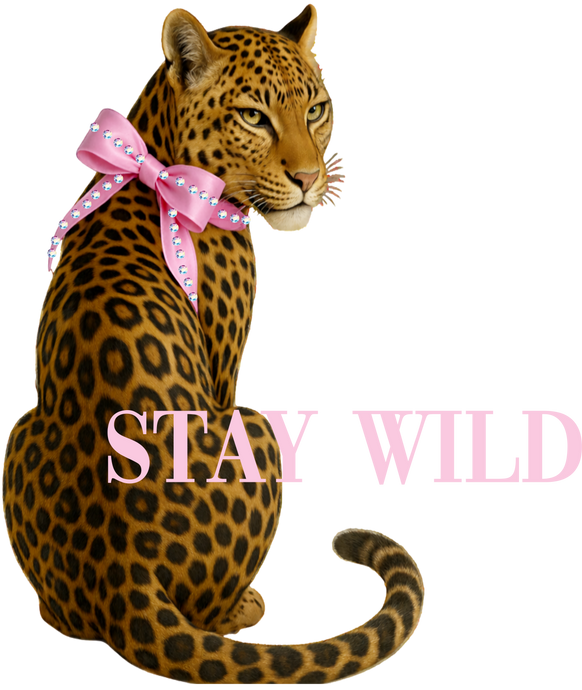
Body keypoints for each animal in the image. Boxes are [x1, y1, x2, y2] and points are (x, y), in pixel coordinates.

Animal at [1, 3, 425, 686]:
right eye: (253, 116)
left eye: (316, 109)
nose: (309, 178)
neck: (155, 162)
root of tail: (124, 575)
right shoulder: (226, 370)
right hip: (255, 428)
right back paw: (244, 605)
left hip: (20, 432)